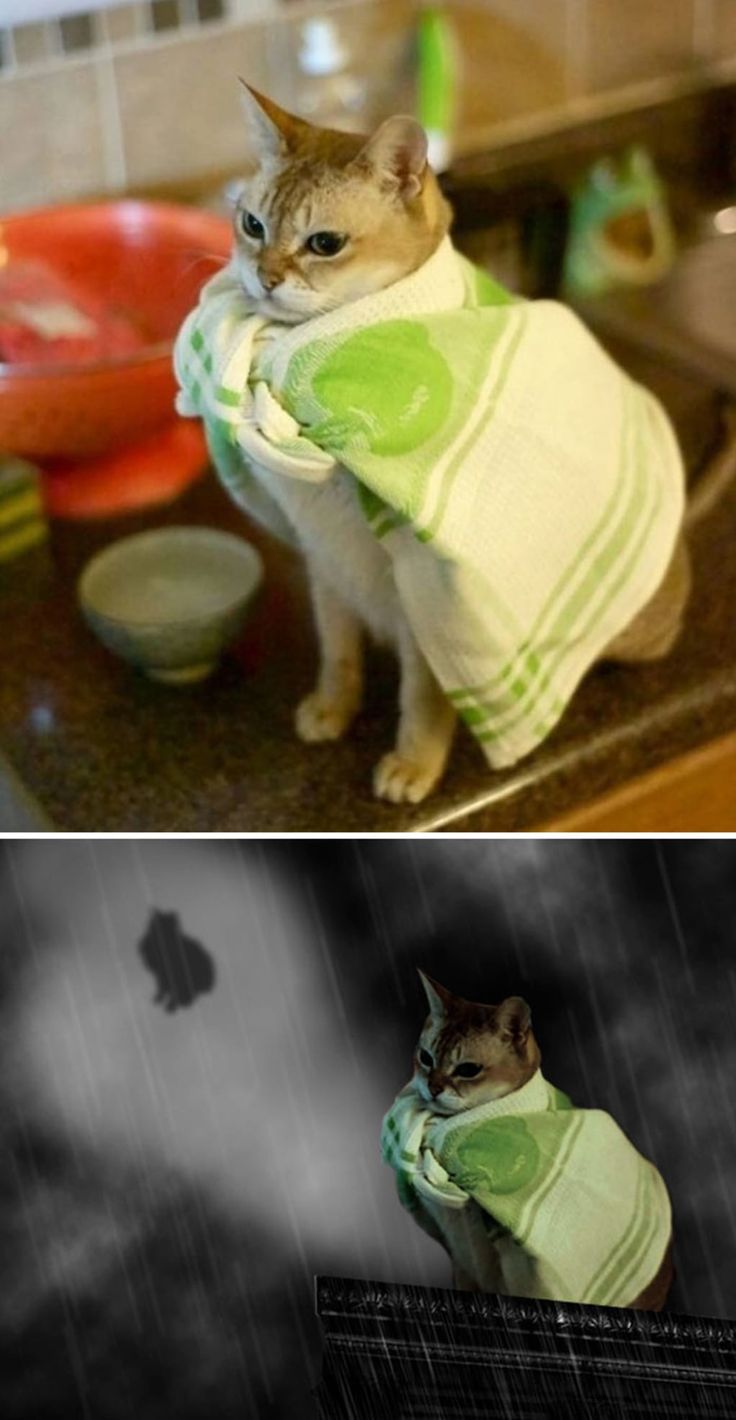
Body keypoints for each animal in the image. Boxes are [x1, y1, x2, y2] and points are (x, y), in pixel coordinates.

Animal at [218, 85, 736, 800]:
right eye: (252, 225)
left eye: (324, 243)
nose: (264, 277)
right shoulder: (327, 565)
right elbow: (338, 653)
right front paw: (331, 708)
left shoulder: (426, 598)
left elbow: (422, 697)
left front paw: (414, 763)